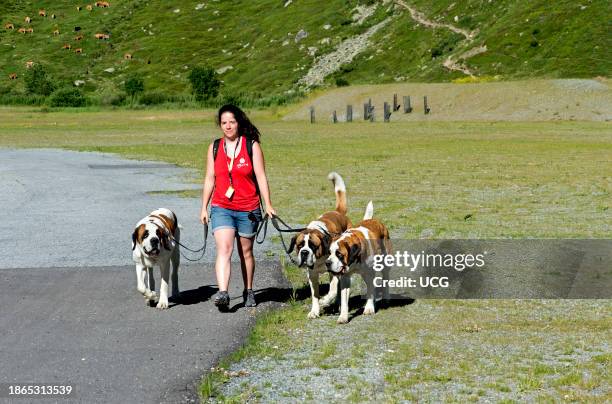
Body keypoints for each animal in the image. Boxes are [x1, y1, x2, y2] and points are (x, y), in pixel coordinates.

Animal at [288, 172, 352, 320]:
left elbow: (332, 290)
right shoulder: (312, 275)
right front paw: (315, 311)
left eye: (313, 246)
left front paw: (325, 300)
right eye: (300, 245)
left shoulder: (333, 271)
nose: (304, 252)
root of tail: (337, 212)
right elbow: (315, 295)